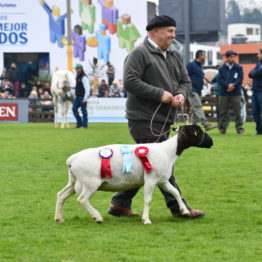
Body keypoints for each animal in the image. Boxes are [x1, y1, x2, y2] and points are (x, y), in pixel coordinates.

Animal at [54, 125, 213, 225]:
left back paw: (59, 218)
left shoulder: (162, 180)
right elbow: (148, 200)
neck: (170, 151)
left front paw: (185, 211)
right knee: (82, 199)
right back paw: (97, 217)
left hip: (75, 181)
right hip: (90, 182)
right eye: (198, 132)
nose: (211, 142)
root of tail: (71, 160)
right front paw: (146, 220)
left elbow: (175, 192)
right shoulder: (150, 179)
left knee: (61, 194)